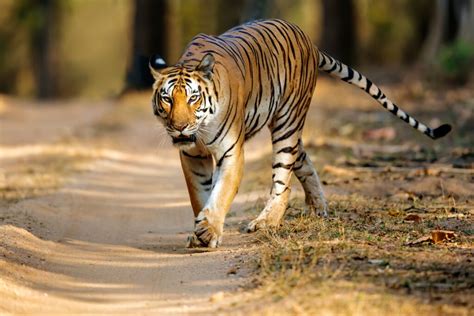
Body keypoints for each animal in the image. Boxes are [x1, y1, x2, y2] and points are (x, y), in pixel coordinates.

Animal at [149, 18, 452, 248]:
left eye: (193, 98)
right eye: (167, 99)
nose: (179, 127)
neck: (199, 132)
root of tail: (310, 42)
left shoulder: (231, 151)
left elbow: (220, 192)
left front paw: (209, 229)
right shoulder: (192, 156)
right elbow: (199, 194)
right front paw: (201, 231)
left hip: (288, 120)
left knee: (283, 180)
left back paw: (266, 222)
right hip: (289, 131)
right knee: (303, 161)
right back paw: (319, 207)